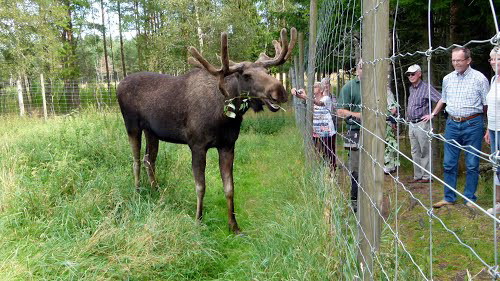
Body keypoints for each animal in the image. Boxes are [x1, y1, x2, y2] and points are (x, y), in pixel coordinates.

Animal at [117, 27, 296, 232]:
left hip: (151, 131)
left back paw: (156, 191)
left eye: (267, 70)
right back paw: (138, 192)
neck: (223, 116)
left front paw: (234, 226)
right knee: (136, 160)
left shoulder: (228, 145)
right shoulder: (197, 145)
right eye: (246, 75)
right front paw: (198, 220)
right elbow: (200, 186)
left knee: (149, 160)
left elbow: (229, 188)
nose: (279, 91)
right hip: (132, 125)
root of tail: (118, 85)